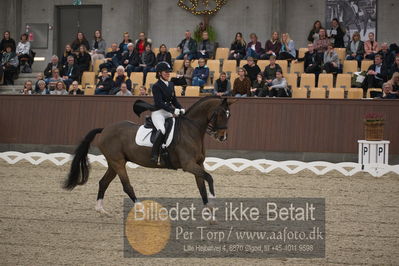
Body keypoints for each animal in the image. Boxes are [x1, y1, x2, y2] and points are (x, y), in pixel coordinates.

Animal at [64, 96, 236, 215]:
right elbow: (209, 178)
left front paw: (209, 211)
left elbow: (202, 186)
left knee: (103, 182)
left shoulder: (197, 164)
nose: (222, 137)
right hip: (117, 162)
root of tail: (105, 129)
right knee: (127, 186)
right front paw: (213, 203)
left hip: (115, 163)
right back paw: (142, 209)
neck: (191, 130)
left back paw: (101, 210)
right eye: (220, 113)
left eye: (229, 115)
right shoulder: (188, 165)